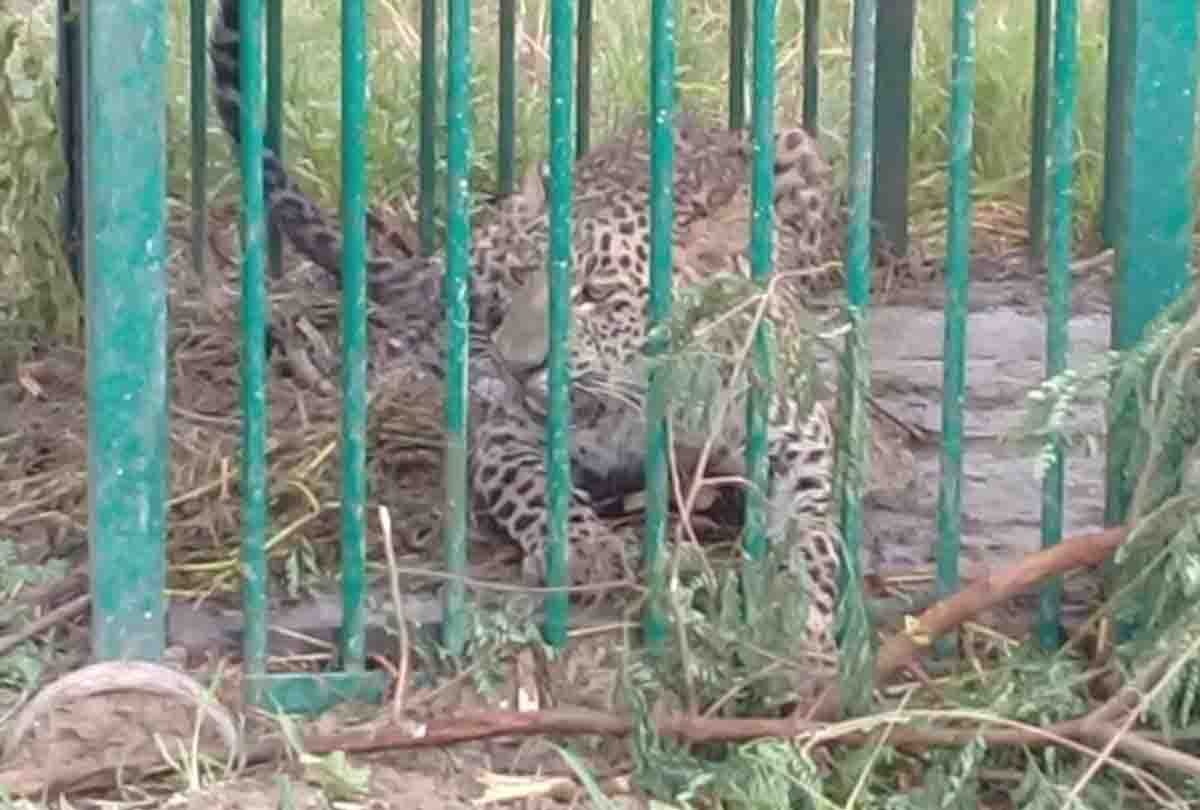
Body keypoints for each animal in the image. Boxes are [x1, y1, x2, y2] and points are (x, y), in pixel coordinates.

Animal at [210, 0, 929, 665]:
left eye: (594, 295)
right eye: (521, 277)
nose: (516, 363)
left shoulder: (801, 446)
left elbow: (816, 534)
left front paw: (802, 617)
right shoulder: (508, 436)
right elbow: (540, 488)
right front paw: (584, 551)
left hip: (793, 146)